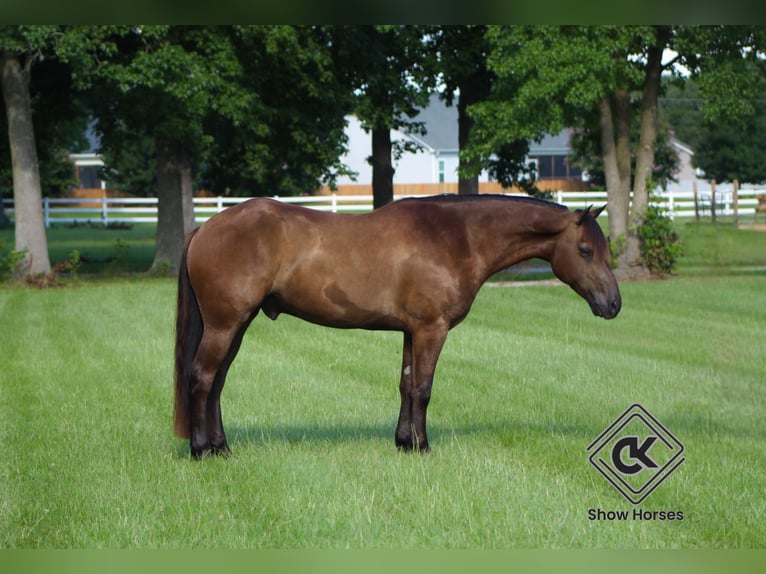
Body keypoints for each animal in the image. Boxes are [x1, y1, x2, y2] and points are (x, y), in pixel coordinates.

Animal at [173, 194, 621, 459]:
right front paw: (423, 447)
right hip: (225, 325)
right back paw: (201, 450)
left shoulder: (410, 331)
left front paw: (404, 443)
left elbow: (406, 385)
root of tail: (204, 228)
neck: (455, 237)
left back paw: (221, 448)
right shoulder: (431, 330)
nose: (614, 304)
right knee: (202, 378)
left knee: (217, 382)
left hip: (236, 325)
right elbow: (423, 388)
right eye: (585, 250)